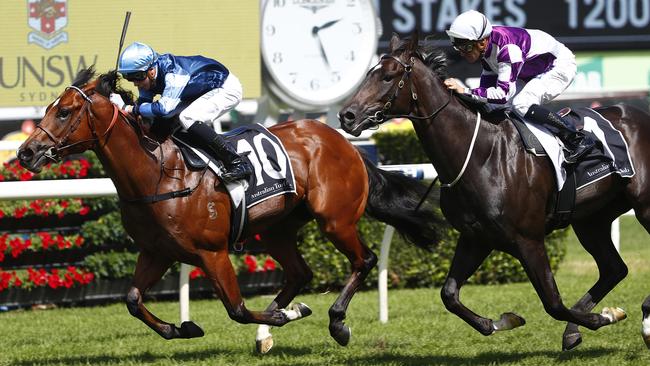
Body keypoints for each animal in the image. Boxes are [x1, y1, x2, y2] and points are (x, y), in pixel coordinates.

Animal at [17, 69, 442, 352]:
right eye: (50, 108)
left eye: (65, 111)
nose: (26, 152)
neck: (157, 173)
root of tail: (343, 141)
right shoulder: (157, 251)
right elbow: (133, 300)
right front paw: (180, 329)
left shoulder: (212, 252)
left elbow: (236, 308)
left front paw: (285, 316)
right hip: (276, 228)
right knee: (299, 273)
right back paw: (268, 333)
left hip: (334, 220)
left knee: (364, 260)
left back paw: (335, 322)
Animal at [336, 33, 648, 350]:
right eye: (370, 74)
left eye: (388, 76)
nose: (347, 115)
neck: (482, 155)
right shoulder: (476, 237)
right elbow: (449, 294)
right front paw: (500, 322)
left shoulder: (529, 240)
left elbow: (553, 303)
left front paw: (604, 317)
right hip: (590, 219)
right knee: (614, 268)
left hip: (642, 206)